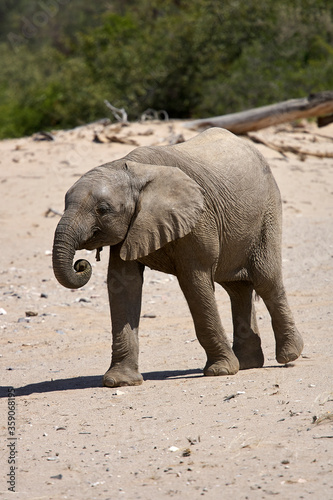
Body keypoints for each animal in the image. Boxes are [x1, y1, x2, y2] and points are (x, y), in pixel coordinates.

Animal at [52, 127, 304, 384]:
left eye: (102, 210)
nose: (81, 264)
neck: (136, 171)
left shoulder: (198, 218)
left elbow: (194, 282)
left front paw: (220, 371)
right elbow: (123, 285)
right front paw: (120, 381)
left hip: (268, 212)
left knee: (266, 280)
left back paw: (288, 355)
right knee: (237, 288)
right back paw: (248, 364)